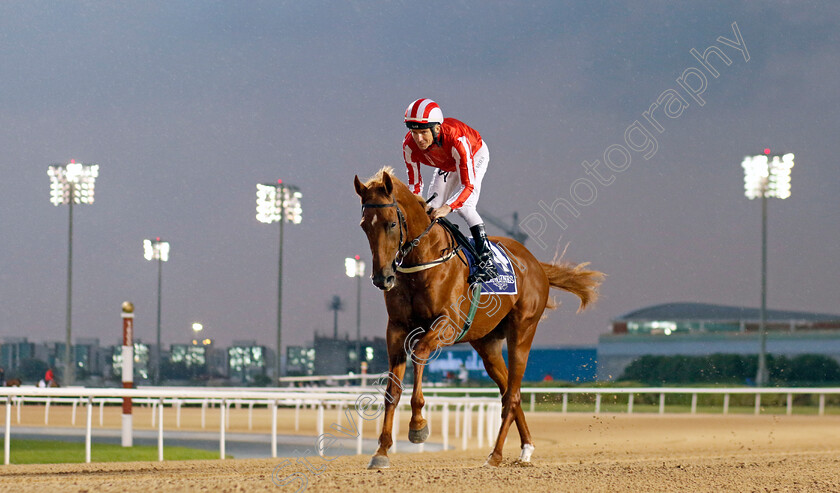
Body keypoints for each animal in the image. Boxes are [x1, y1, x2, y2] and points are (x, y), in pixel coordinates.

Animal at [354, 167, 604, 468]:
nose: (383, 278)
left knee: (513, 394)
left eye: (391, 223)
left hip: (522, 331)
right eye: (364, 225)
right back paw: (526, 449)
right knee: (509, 391)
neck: (424, 259)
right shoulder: (397, 328)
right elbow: (392, 390)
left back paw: (495, 454)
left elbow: (421, 353)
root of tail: (536, 265)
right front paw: (381, 451)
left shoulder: (447, 324)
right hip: (488, 344)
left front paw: (418, 426)